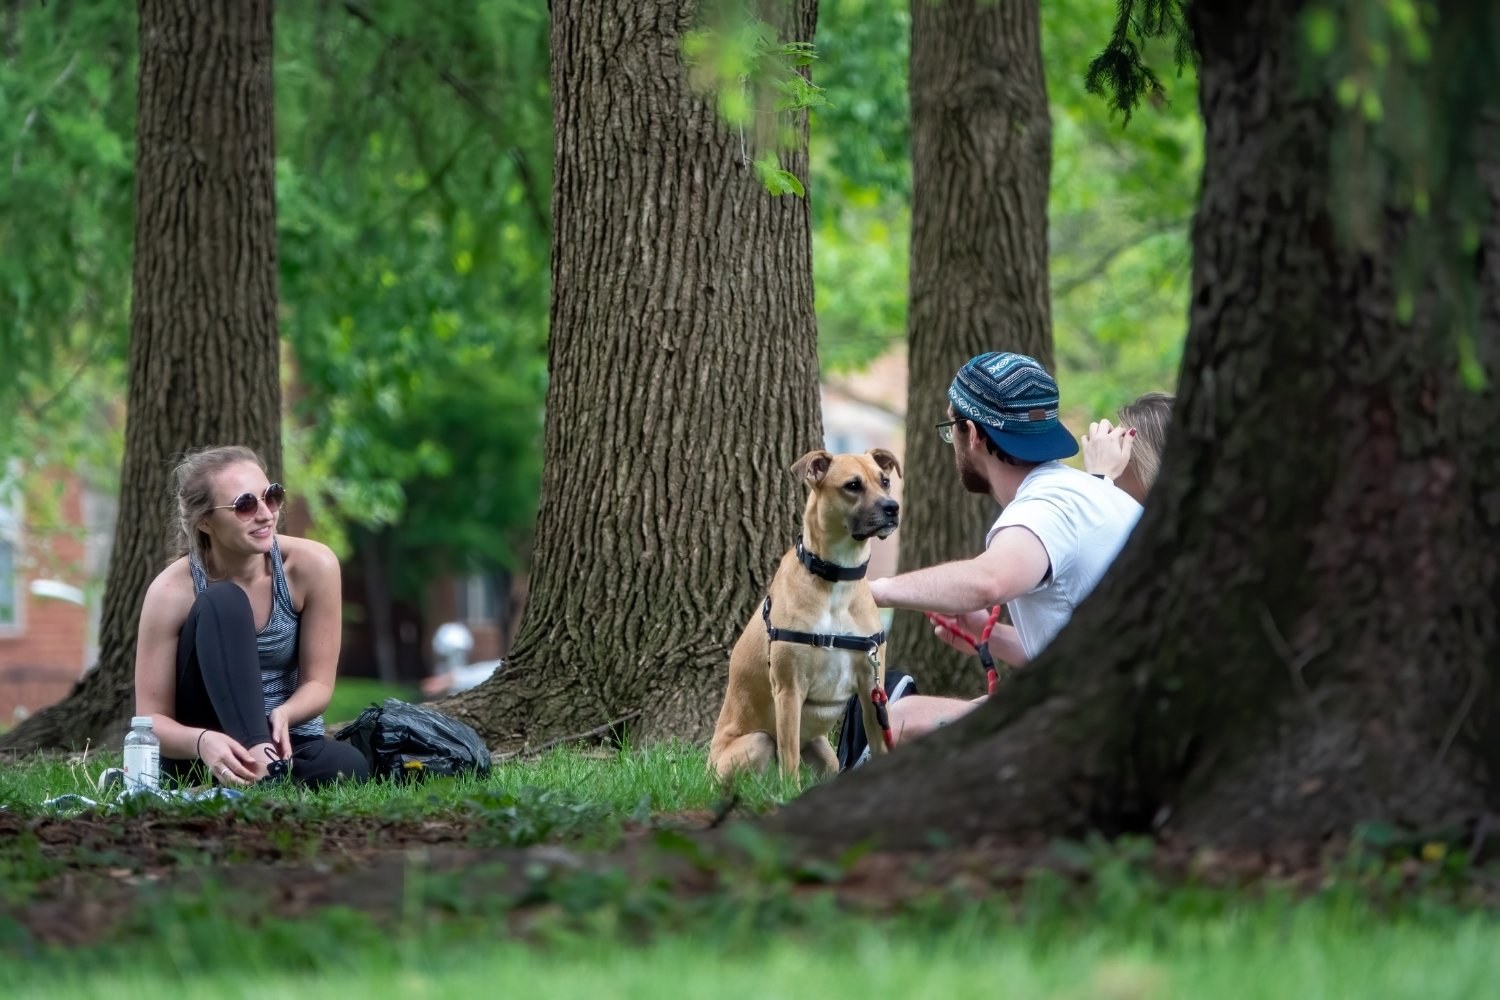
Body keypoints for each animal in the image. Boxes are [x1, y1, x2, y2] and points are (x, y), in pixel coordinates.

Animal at [705, 446, 894, 779]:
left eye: (885, 481)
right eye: (852, 486)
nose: (892, 508)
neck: (837, 580)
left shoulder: (872, 688)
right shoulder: (789, 689)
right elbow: (790, 761)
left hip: (825, 754)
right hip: (757, 741)